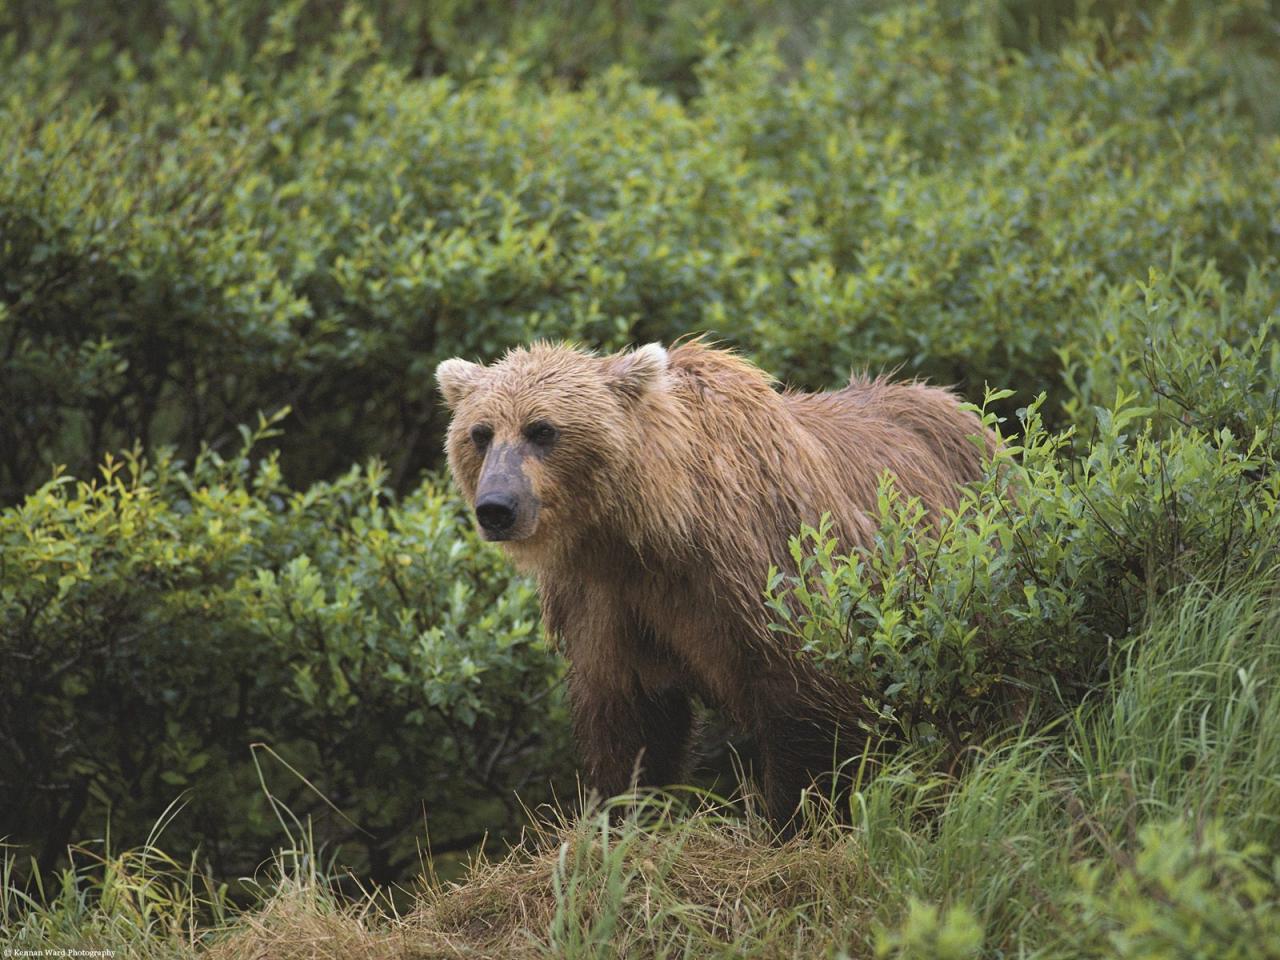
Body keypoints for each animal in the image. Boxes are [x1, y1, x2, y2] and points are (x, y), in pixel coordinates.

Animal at [435, 343, 993, 829]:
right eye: (480, 433)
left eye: (542, 429)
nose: (496, 507)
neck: (657, 531)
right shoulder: (608, 602)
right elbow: (630, 722)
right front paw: (623, 819)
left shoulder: (766, 573)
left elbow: (808, 703)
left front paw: (795, 819)